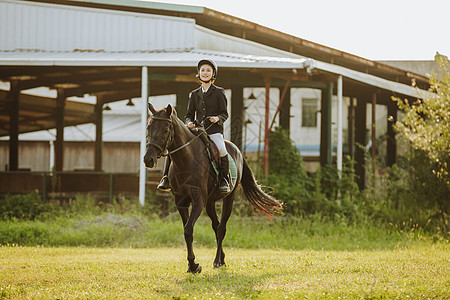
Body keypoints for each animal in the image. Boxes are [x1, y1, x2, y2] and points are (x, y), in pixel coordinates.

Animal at [143, 103, 282, 274]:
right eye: (148, 128)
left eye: (165, 130)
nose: (148, 160)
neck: (186, 159)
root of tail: (237, 150)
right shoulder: (181, 202)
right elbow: (186, 231)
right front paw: (192, 265)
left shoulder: (198, 201)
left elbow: (188, 229)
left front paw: (193, 265)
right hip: (210, 202)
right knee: (216, 226)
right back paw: (222, 259)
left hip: (228, 198)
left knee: (221, 228)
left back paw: (217, 261)